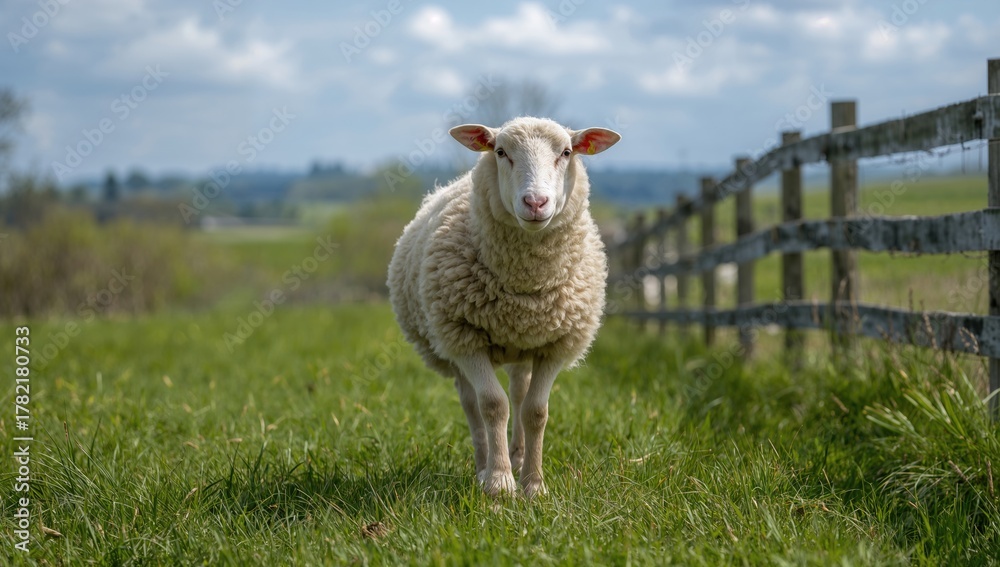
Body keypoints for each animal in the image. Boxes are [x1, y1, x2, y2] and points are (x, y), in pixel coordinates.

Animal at [387, 116, 620, 497]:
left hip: (524, 346)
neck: (525, 286)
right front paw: (499, 483)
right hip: (449, 347)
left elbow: (536, 411)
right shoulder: (464, 337)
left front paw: (534, 485)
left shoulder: (556, 345)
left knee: (519, 394)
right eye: (500, 152)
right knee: (471, 403)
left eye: (566, 153)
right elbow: (493, 406)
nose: (536, 202)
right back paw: (483, 467)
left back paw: (518, 455)